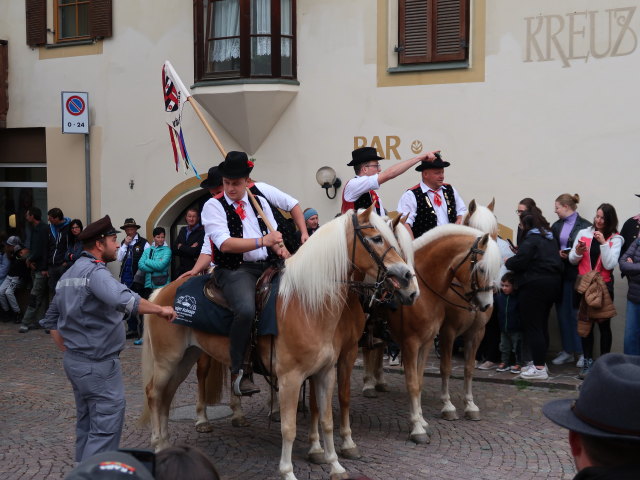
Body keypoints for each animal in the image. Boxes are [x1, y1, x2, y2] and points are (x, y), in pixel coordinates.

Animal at [141, 206, 420, 480]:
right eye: (377, 238)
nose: (407, 279)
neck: (308, 304)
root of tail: (161, 292)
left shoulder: (325, 372)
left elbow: (327, 419)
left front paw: (335, 464)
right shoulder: (291, 378)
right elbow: (289, 427)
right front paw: (288, 471)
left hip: (185, 358)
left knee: (167, 396)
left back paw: (166, 444)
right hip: (168, 360)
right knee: (155, 393)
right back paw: (159, 444)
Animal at [362, 223, 502, 444]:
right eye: (480, 268)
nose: (487, 304)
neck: (425, 292)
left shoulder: (470, 334)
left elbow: (466, 370)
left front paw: (469, 406)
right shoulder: (434, 336)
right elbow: (434, 373)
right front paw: (442, 411)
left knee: (377, 349)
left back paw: (380, 382)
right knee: (369, 351)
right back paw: (368, 385)